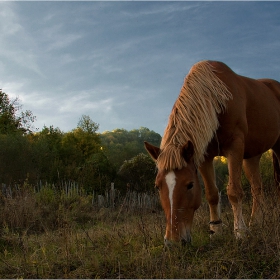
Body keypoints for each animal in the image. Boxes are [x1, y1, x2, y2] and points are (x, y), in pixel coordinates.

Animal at [144, 59, 280, 245]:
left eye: (190, 185)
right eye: (157, 186)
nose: (173, 242)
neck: (217, 99)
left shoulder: (235, 147)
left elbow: (234, 191)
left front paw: (240, 232)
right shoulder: (204, 156)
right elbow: (212, 194)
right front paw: (216, 231)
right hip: (251, 157)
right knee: (257, 188)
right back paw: (256, 222)